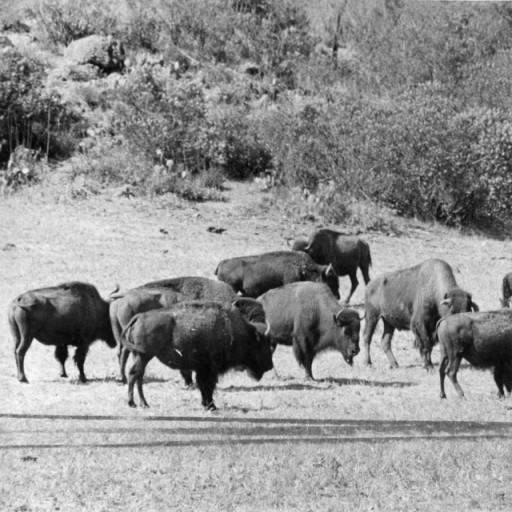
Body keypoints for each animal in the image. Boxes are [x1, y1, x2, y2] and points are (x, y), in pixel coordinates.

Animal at [122, 302, 274, 410]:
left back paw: (143, 403)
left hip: (140, 356)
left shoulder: (202, 369)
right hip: (144, 355)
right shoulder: (210, 369)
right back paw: (133, 403)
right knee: (134, 374)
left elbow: (203, 385)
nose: (270, 366)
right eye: (263, 346)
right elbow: (208, 386)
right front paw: (211, 406)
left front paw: (206, 404)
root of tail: (140, 316)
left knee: (139, 376)